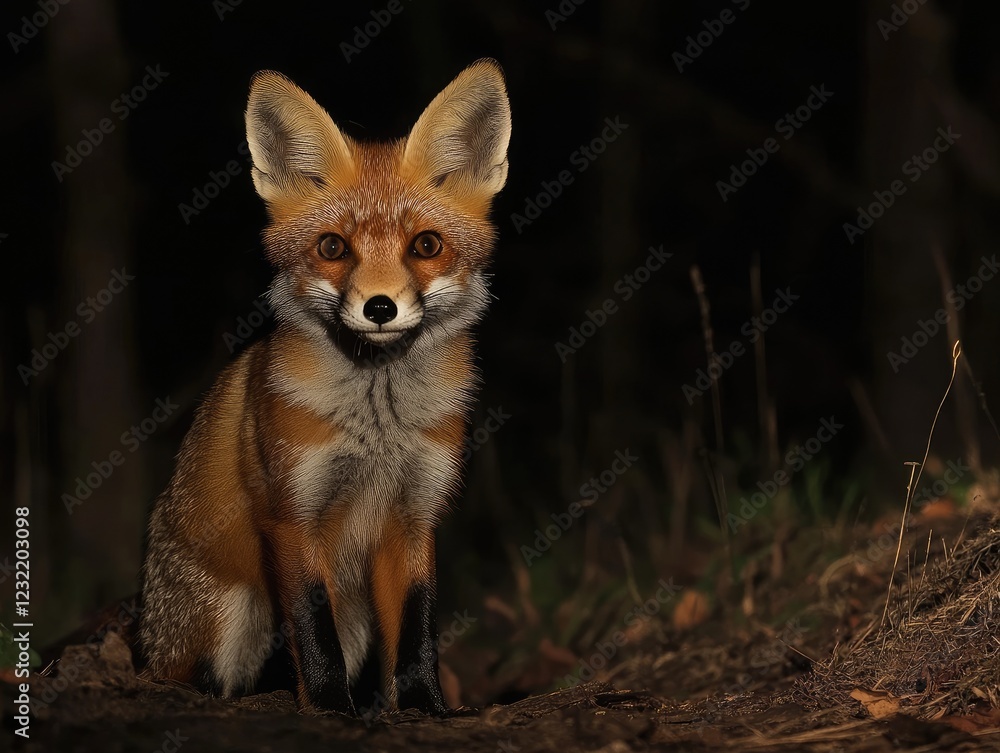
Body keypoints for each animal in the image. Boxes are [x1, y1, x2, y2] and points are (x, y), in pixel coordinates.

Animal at [138, 60, 511, 715]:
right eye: (333, 247)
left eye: (427, 245)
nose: (381, 307)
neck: (378, 427)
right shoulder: (293, 514)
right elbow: (314, 627)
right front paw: (335, 705)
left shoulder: (414, 517)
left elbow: (417, 628)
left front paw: (422, 706)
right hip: (227, 615)